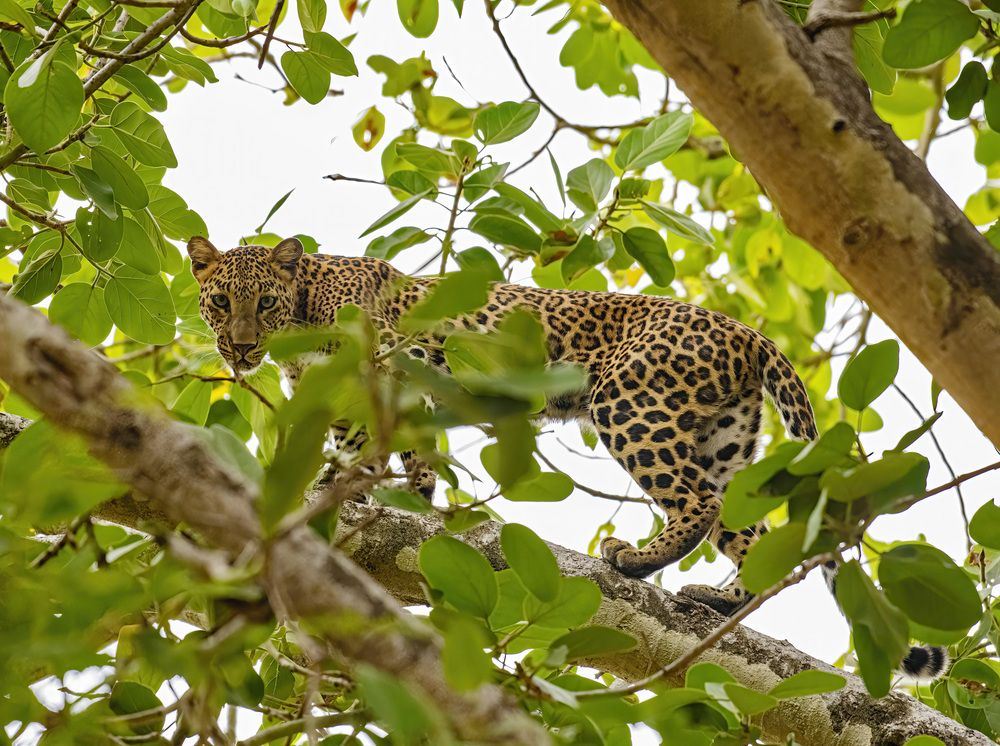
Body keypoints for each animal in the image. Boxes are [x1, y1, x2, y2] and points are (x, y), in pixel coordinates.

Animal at [187, 235, 819, 616]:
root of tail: (747, 331)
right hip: (722, 441)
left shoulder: (386, 367)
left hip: (628, 403)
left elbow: (366, 449)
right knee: (752, 534)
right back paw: (721, 598)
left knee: (697, 501)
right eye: (219, 302)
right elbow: (400, 454)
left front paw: (340, 491)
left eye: (265, 303)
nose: (240, 347)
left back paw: (635, 558)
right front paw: (404, 496)